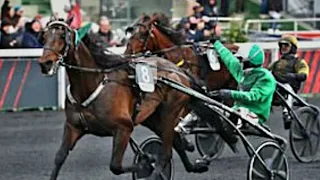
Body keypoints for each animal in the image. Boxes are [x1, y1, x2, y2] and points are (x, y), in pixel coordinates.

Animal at [38, 17, 208, 179]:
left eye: (62, 36)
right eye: (44, 37)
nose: (45, 63)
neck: (90, 86)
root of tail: (179, 70)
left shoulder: (124, 128)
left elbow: (116, 166)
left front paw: (145, 163)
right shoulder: (73, 127)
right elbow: (59, 157)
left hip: (169, 112)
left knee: (166, 152)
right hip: (152, 117)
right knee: (176, 142)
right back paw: (194, 166)